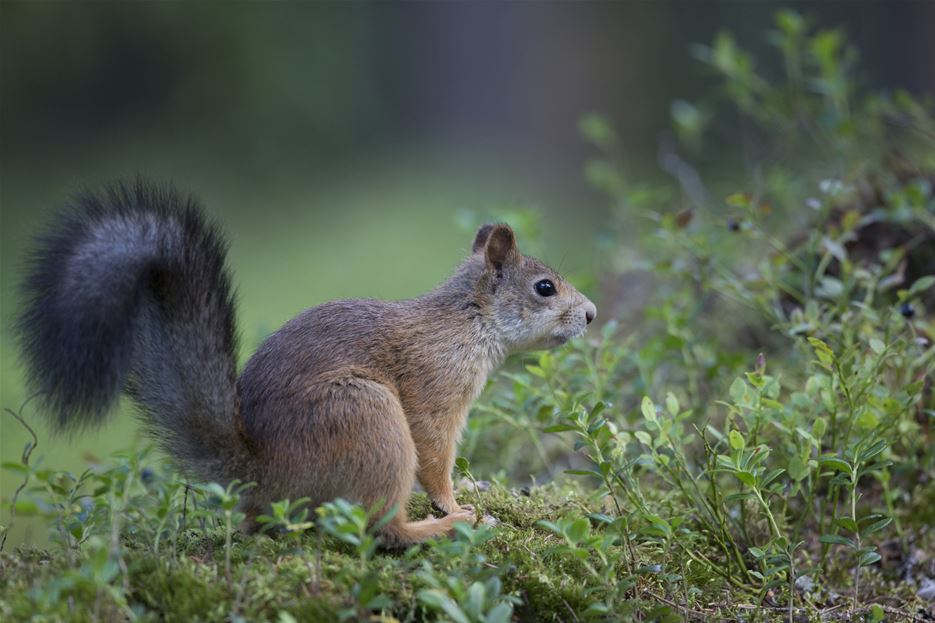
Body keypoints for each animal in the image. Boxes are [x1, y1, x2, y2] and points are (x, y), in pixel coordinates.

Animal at [14, 179, 596, 544]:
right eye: (545, 288)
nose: (591, 314)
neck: (467, 321)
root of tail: (262, 477)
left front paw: (474, 488)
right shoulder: (434, 390)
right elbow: (434, 458)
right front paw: (453, 505)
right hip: (367, 418)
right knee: (378, 528)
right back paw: (441, 529)